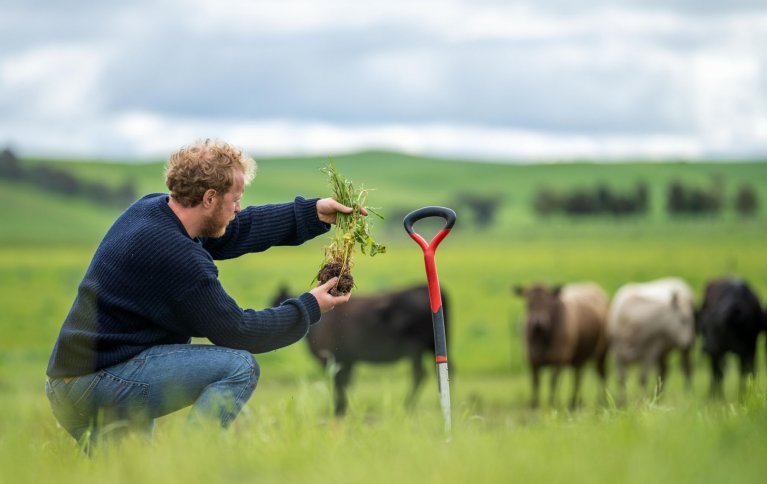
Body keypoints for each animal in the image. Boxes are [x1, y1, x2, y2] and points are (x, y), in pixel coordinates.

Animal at [272, 284, 448, 416]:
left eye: (277, 302)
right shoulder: (348, 360)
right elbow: (346, 383)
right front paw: (342, 408)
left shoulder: (334, 360)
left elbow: (339, 383)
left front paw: (338, 409)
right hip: (432, 346)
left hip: (415, 349)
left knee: (419, 374)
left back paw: (408, 406)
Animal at [512, 282, 608, 410]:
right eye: (528, 302)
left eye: (547, 302)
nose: (538, 323)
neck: (543, 338)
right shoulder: (533, 360)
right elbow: (535, 383)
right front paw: (534, 405)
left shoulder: (558, 360)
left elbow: (553, 382)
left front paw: (552, 403)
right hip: (579, 357)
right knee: (578, 377)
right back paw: (574, 402)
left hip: (601, 353)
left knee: (601, 374)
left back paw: (601, 401)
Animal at [608, 276, 700, 404]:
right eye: (683, 319)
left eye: (694, 320)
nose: (691, 341)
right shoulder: (618, 353)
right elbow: (621, 378)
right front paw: (621, 402)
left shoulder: (651, 350)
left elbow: (642, 377)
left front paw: (642, 400)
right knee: (664, 370)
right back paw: (659, 397)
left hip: (680, 351)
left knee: (686, 368)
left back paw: (687, 392)